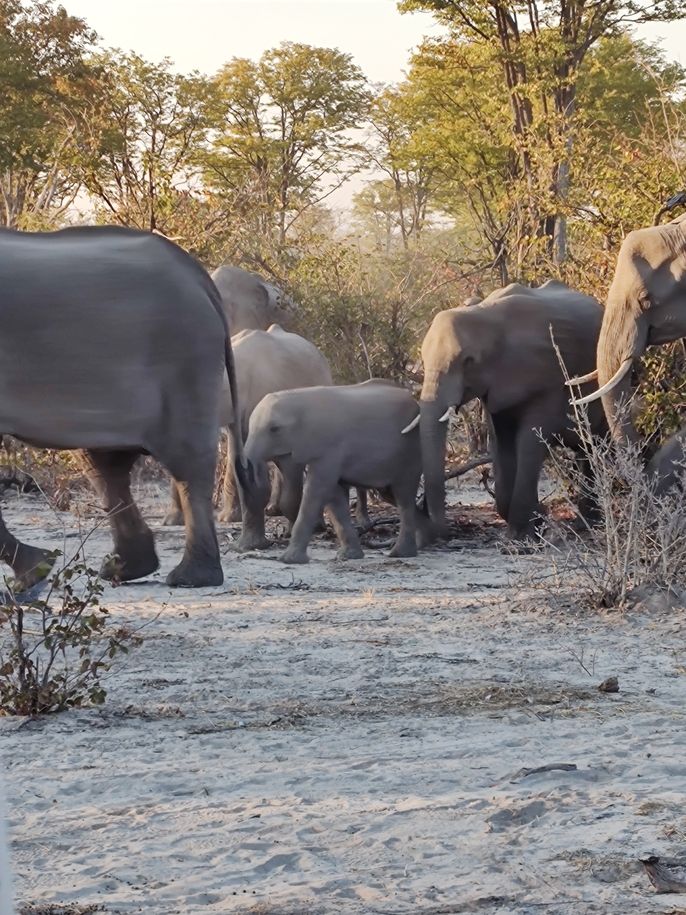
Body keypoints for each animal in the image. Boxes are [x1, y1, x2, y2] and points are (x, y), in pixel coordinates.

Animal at [0, 225, 246, 592]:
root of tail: (202, 279)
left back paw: (190, 578)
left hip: (185, 359)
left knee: (187, 463)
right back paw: (125, 570)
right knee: (105, 465)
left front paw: (34, 575)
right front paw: (35, 573)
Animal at [245, 378, 432, 560]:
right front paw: (349, 556)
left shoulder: (330, 448)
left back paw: (401, 553)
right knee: (390, 494)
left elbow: (317, 490)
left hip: (410, 450)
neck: (298, 397)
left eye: (274, 429)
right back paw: (425, 538)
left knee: (403, 496)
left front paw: (289, 559)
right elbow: (335, 496)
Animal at [420, 280, 608, 536]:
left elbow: (529, 441)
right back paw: (585, 523)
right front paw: (536, 521)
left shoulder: (547, 374)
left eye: (469, 361)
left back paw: (590, 525)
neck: (486, 314)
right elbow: (502, 443)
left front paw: (521, 536)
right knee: (585, 450)